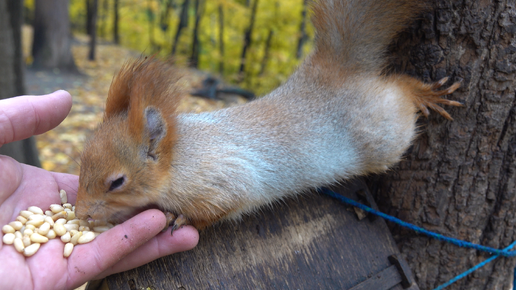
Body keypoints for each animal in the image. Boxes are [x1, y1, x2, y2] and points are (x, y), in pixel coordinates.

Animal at [75, 0, 460, 231]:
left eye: (117, 182)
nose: (80, 214)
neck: (180, 156)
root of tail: (335, 72)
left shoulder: (224, 181)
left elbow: (219, 210)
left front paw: (183, 220)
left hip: (384, 133)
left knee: (399, 93)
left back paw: (422, 93)